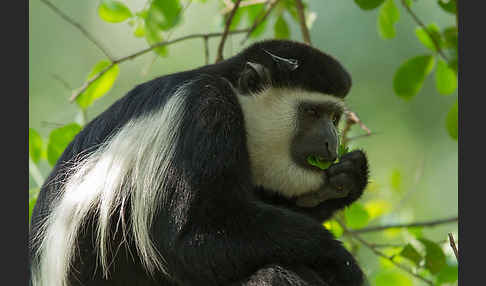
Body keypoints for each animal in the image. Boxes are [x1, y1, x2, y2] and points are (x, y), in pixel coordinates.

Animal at [28, 39, 368, 286]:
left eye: (333, 118)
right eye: (311, 112)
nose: (331, 142)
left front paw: (346, 180)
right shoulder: (206, 111)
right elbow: (188, 241)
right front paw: (334, 254)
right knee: (272, 274)